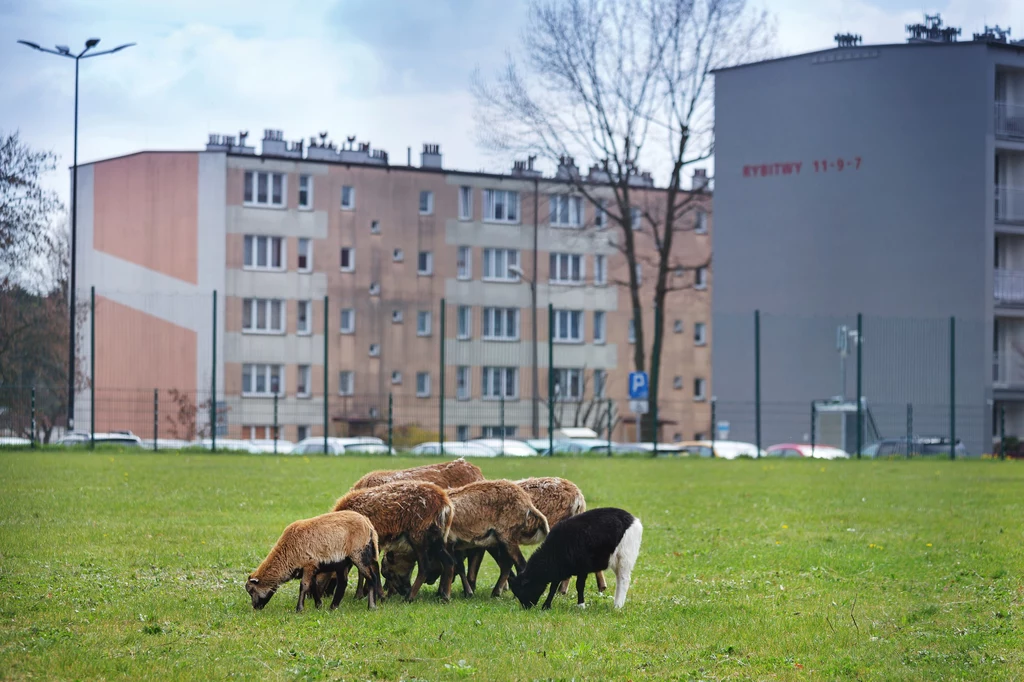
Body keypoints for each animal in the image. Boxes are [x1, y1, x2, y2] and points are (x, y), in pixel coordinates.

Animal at [245, 509, 382, 610]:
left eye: (251, 591)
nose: (255, 607)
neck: (287, 553)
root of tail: (369, 525)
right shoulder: (314, 568)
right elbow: (314, 585)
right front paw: (318, 605)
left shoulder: (309, 565)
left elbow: (304, 586)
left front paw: (299, 608)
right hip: (342, 562)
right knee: (343, 582)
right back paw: (333, 607)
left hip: (359, 554)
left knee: (371, 577)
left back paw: (371, 606)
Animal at [509, 503, 643, 610]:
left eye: (524, 589)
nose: (527, 607)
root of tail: (633, 519)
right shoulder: (559, 569)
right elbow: (553, 587)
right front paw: (546, 606)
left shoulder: (583, 568)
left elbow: (579, 585)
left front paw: (581, 605)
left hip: (625, 557)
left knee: (624, 580)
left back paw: (617, 606)